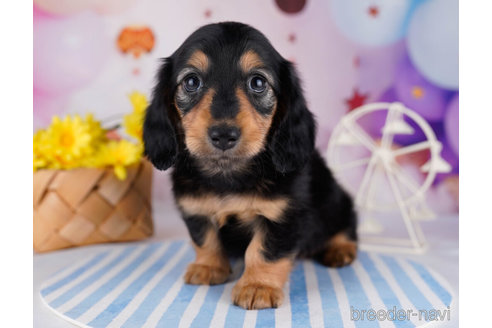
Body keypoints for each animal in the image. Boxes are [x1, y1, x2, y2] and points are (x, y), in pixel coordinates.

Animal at [143, 21, 358, 308]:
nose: (223, 134)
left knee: (346, 224)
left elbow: (264, 251)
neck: (228, 174)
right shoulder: (194, 208)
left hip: (337, 200)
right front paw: (209, 267)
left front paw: (258, 285)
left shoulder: (283, 215)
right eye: (191, 81)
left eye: (257, 82)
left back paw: (340, 248)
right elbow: (205, 239)